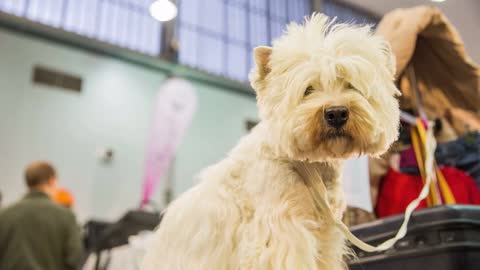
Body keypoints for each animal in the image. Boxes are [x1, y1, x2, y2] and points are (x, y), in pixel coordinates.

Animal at [142, 13, 402, 270]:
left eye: (351, 85)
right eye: (308, 89)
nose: (336, 113)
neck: (310, 167)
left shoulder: (326, 238)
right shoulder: (282, 232)